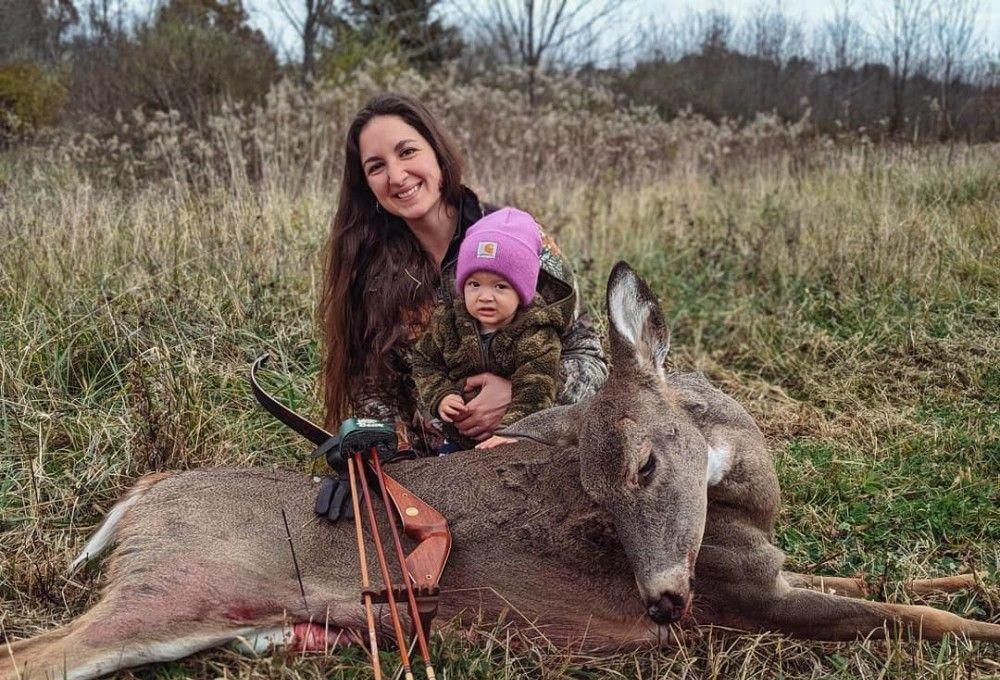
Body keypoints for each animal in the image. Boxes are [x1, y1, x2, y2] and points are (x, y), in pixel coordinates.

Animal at [3, 262, 996, 680]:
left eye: (644, 463)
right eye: (597, 502)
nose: (660, 603)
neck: (747, 508)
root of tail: (140, 499)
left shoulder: (770, 571)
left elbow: (893, 582)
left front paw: (971, 574)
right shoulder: (745, 598)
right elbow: (904, 618)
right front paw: (985, 626)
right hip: (183, 578)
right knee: (33, 658)